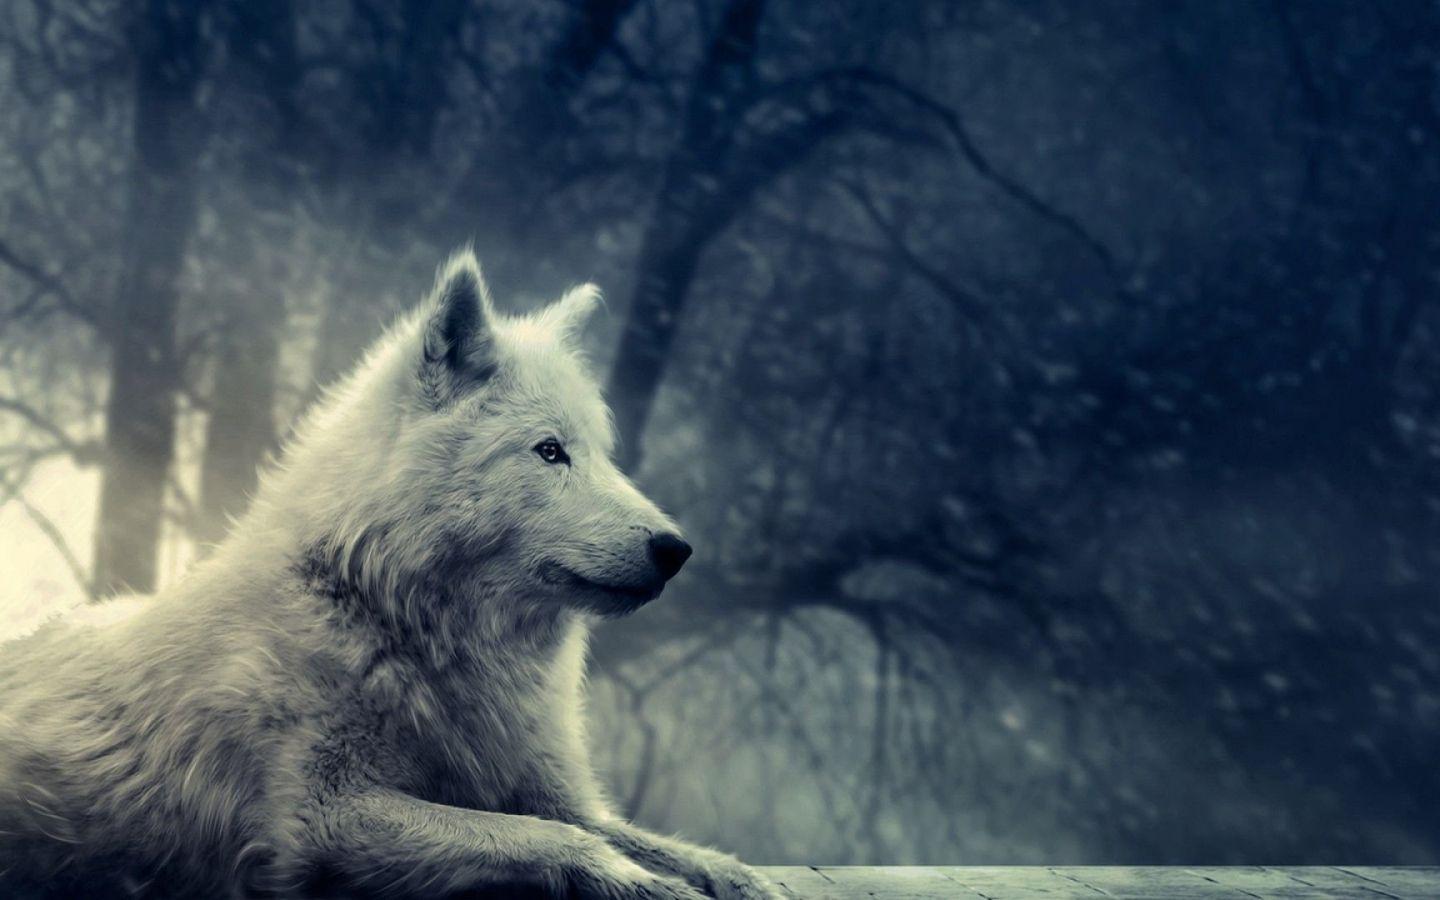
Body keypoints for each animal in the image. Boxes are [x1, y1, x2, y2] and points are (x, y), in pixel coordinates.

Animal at [0, 252, 779, 899]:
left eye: (601, 454)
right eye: (550, 451)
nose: (676, 549)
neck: (387, 615)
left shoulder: (549, 790)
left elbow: (653, 842)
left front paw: (742, 880)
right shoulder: (323, 819)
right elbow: (555, 840)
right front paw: (648, 886)